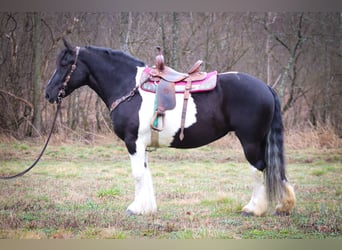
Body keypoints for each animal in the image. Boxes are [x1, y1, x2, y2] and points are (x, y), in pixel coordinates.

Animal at [45, 40, 296, 216]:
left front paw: (135, 208)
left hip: (250, 141)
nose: (48, 93)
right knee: (274, 169)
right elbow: (146, 173)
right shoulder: (142, 145)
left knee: (259, 169)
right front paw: (147, 208)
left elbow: (137, 174)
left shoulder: (133, 142)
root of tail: (265, 86)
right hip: (261, 141)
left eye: (65, 64)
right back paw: (284, 206)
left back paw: (254, 209)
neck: (130, 87)